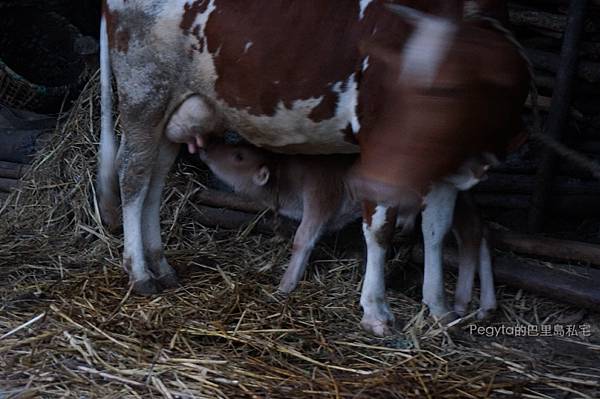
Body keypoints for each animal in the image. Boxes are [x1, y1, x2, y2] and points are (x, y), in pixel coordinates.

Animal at [97, 0, 524, 338]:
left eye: (450, 89)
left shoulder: (447, 166)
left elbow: (436, 230)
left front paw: (438, 308)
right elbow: (380, 230)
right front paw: (376, 311)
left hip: (178, 110)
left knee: (155, 181)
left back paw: (161, 264)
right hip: (144, 92)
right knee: (133, 176)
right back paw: (140, 272)